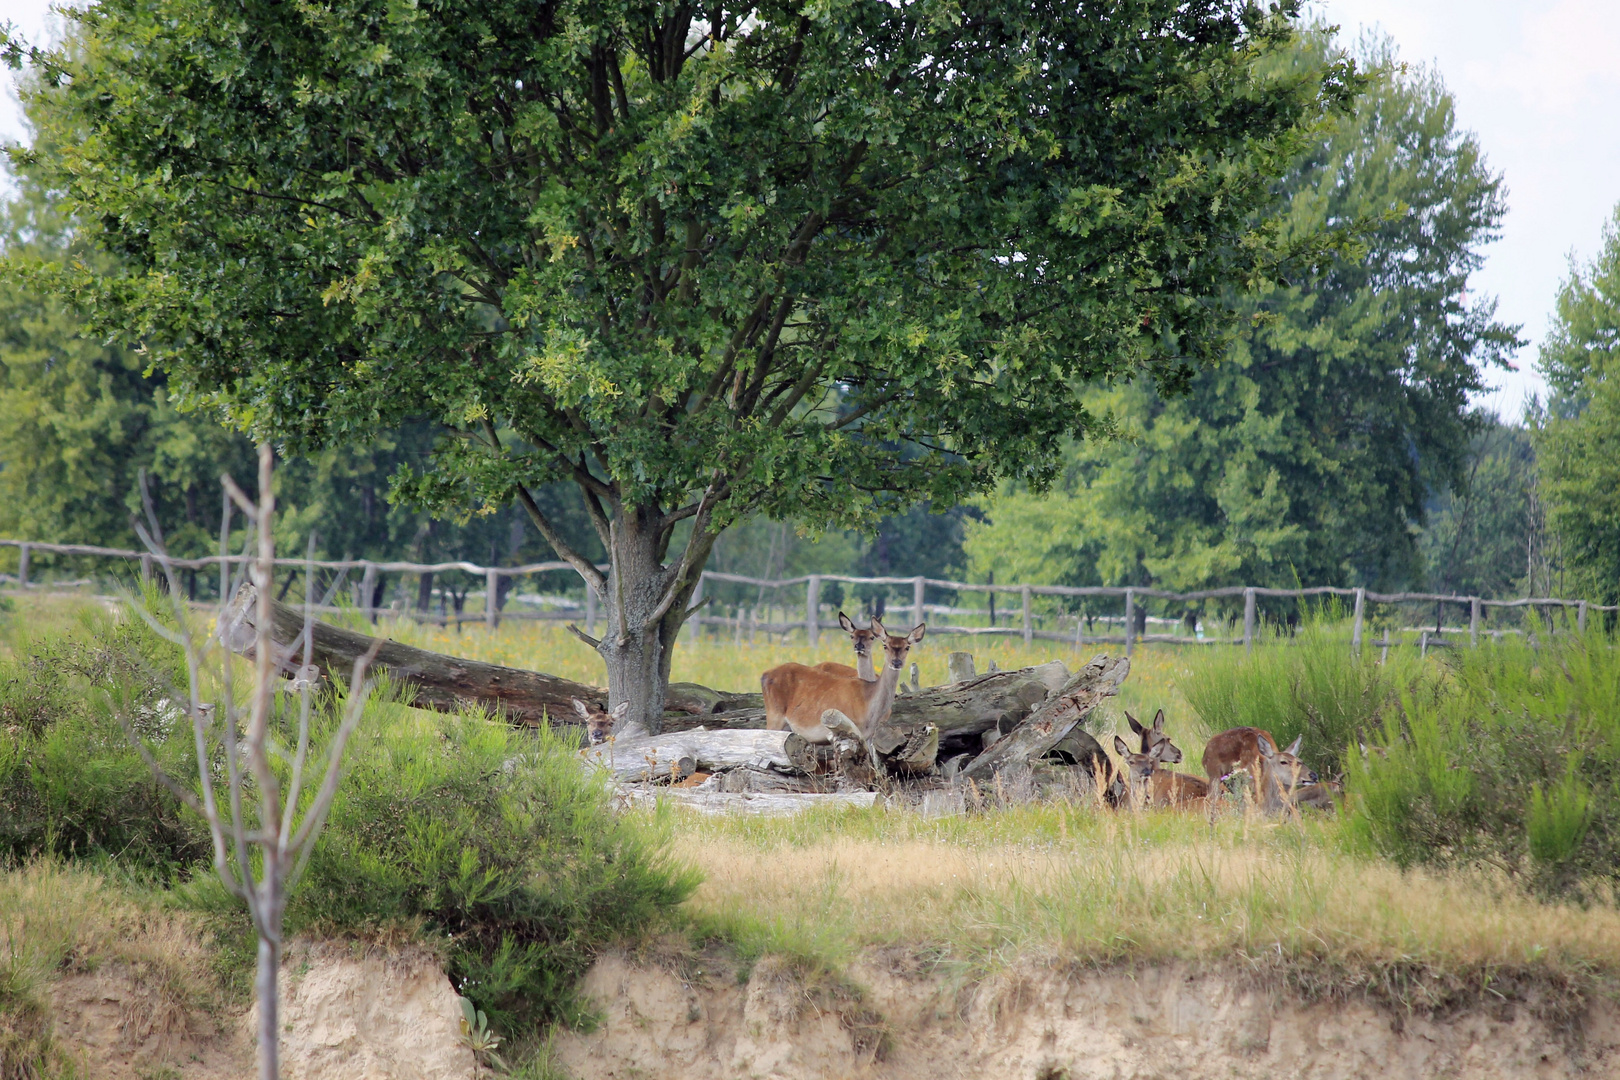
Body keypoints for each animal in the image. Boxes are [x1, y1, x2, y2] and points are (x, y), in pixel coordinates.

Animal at [758, 621, 926, 764]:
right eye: (885, 645)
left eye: (907, 647)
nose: (896, 662)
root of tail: (764, 674)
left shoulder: (869, 736)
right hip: (774, 714)